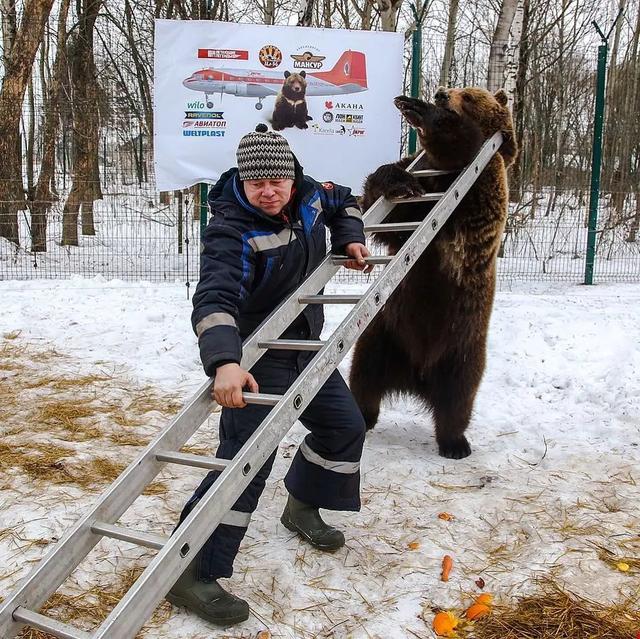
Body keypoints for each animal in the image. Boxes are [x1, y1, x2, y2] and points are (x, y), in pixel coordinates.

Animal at [348, 87, 516, 460]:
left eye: (468, 95)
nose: (440, 92)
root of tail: (417, 376)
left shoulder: (479, 189)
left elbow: (464, 145)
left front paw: (418, 109)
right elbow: (387, 205)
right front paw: (400, 182)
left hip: (461, 347)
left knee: (458, 399)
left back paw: (455, 443)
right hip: (384, 335)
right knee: (364, 376)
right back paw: (363, 415)